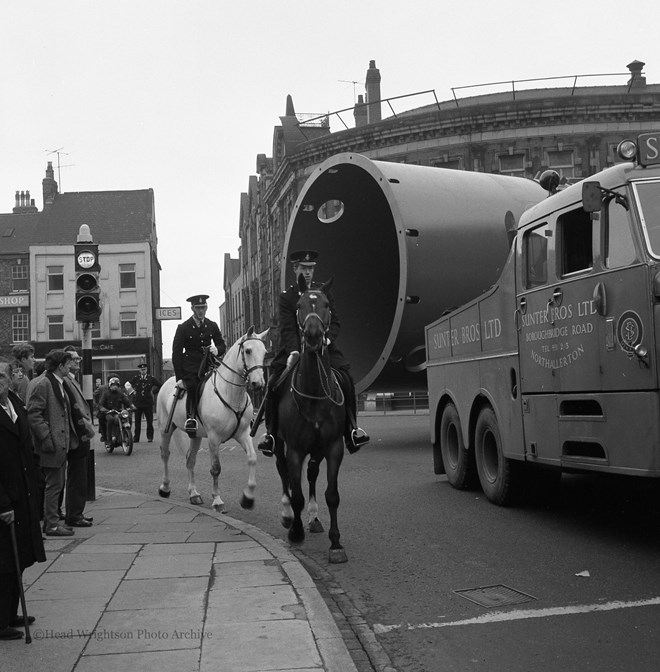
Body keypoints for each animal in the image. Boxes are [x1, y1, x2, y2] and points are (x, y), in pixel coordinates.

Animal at [157, 328, 268, 512]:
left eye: (265, 352)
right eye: (248, 350)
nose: (258, 383)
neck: (231, 393)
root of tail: (168, 382)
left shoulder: (243, 434)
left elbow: (252, 458)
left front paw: (248, 498)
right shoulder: (214, 438)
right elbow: (216, 468)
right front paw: (217, 500)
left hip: (195, 435)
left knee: (190, 459)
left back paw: (194, 494)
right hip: (166, 428)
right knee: (165, 454)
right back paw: (165, 487)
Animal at [274, 276, 348, 564]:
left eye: (327, 304)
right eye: (298, 305)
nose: (315, 336)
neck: (315, 392)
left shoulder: (334, 447)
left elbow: (332, 495)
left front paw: (336, 543)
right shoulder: (294, 449)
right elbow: (296, 495)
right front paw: (295, 532)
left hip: (317, 448)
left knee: (313, 473)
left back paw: (314, 518)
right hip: (279, 443)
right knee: (283, 472)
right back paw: (287, 516)